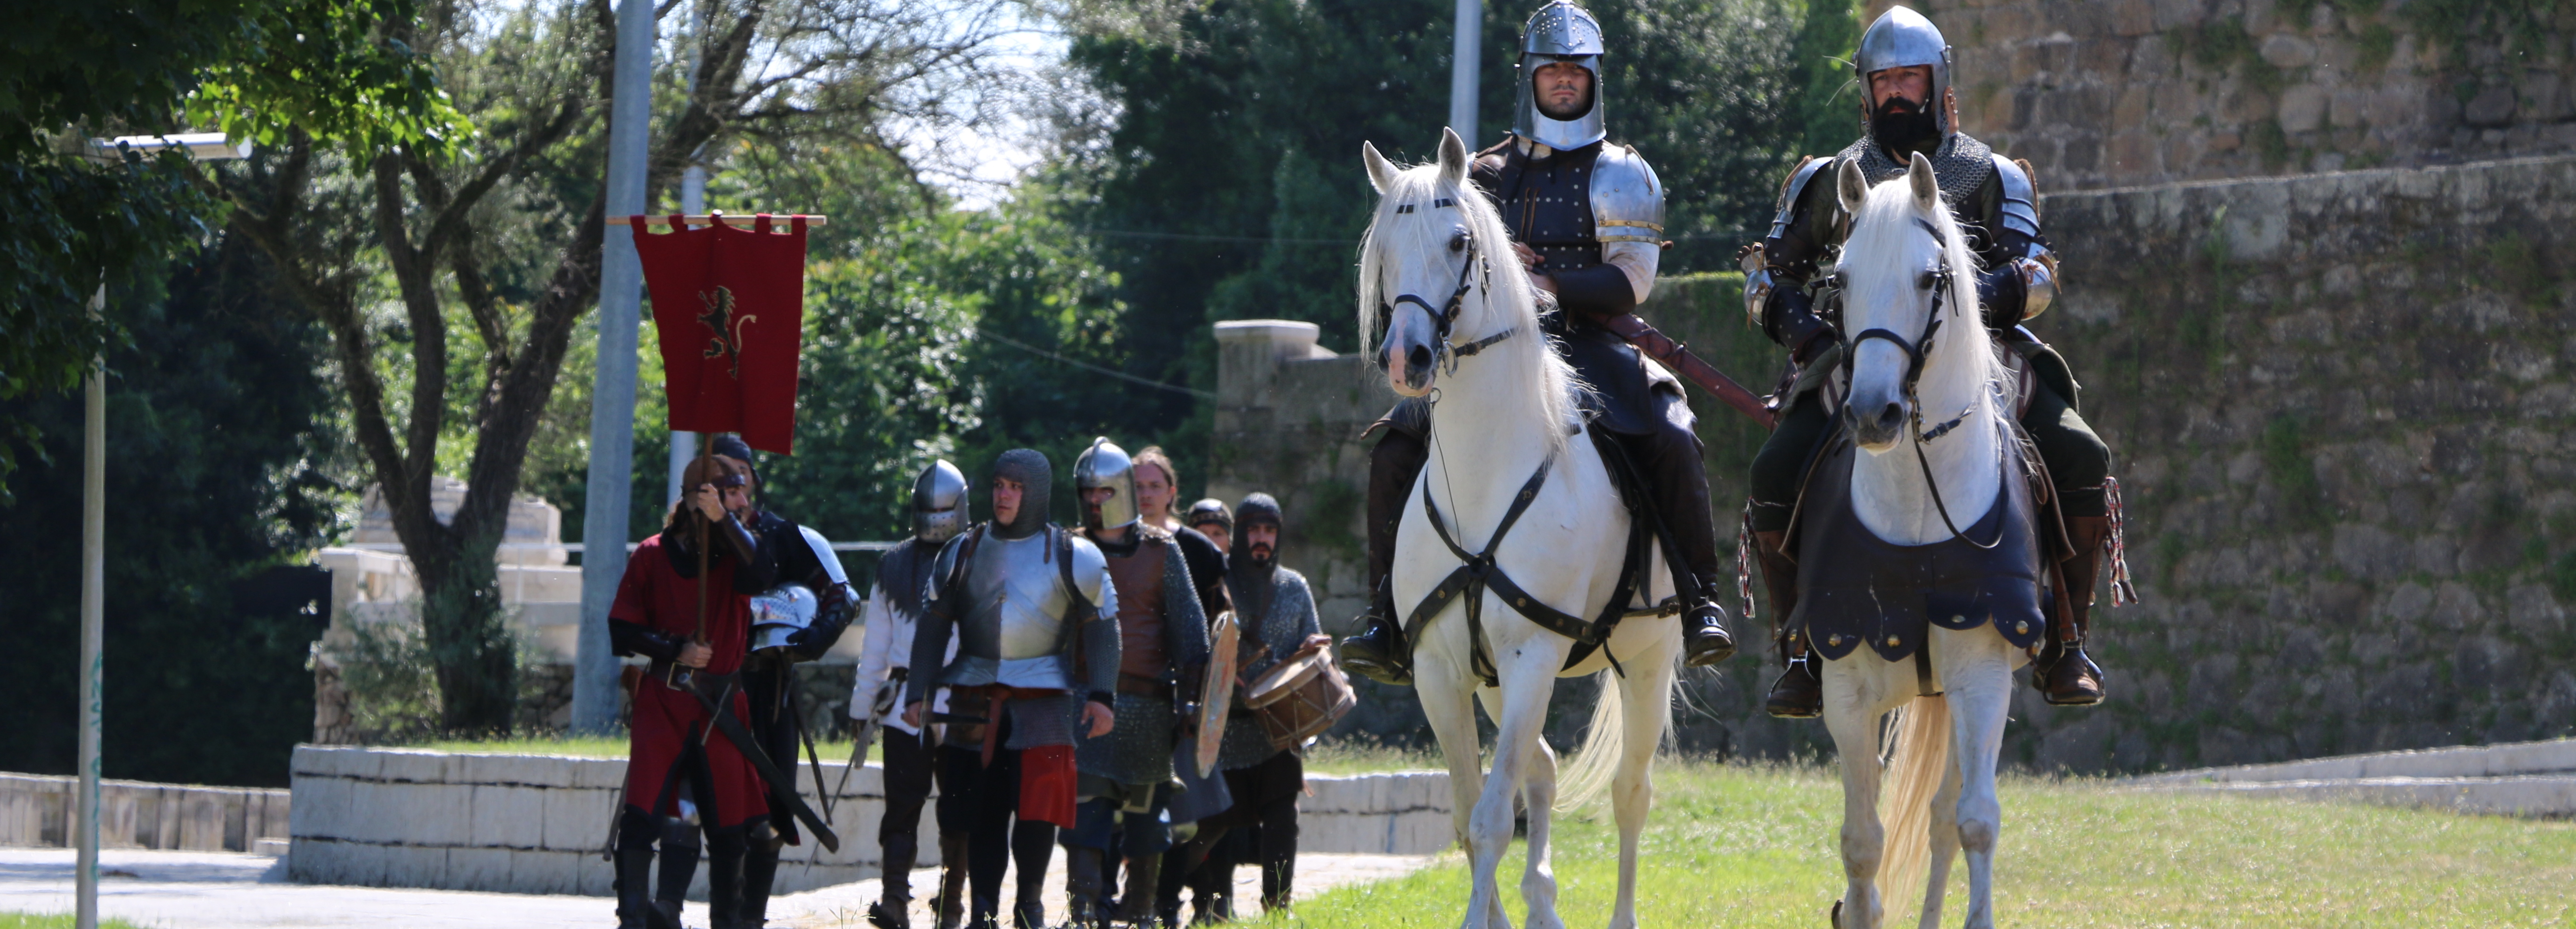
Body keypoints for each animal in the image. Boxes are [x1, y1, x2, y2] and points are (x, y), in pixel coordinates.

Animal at [1360, 128, 1679, 926]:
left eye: (1458, 240)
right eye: (1385, 248)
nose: (1406, 358)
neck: (1486, 474)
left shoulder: (1534, 656)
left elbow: (1490, 819)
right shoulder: (1441, 670)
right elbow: (1468, 812)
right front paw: (1503, 910)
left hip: (1649, 657)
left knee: (1630, 794)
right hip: (1498, 683)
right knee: (1543, 768)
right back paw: (1543, 901)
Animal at [1824, 152, 2040, 926]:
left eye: (1927, 279)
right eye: (1842, 280)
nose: (1873, 414)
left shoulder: (1981, 679)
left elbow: (1973, 821)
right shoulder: (1846, 690)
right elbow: (1863, 842)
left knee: (1946, 817)